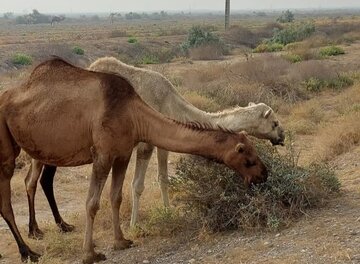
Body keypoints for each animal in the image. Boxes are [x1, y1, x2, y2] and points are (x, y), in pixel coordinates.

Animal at [0, 58, 268, 264]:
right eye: (248, 156)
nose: (264, 174)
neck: (133, 114)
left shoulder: (122, 154)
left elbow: (116, 197)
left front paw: (121, 241)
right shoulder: (103, 154)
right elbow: (92, 203)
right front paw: (90, 254)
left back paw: (43, 233)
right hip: (7, 150)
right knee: (11, 197)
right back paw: (29, 251)